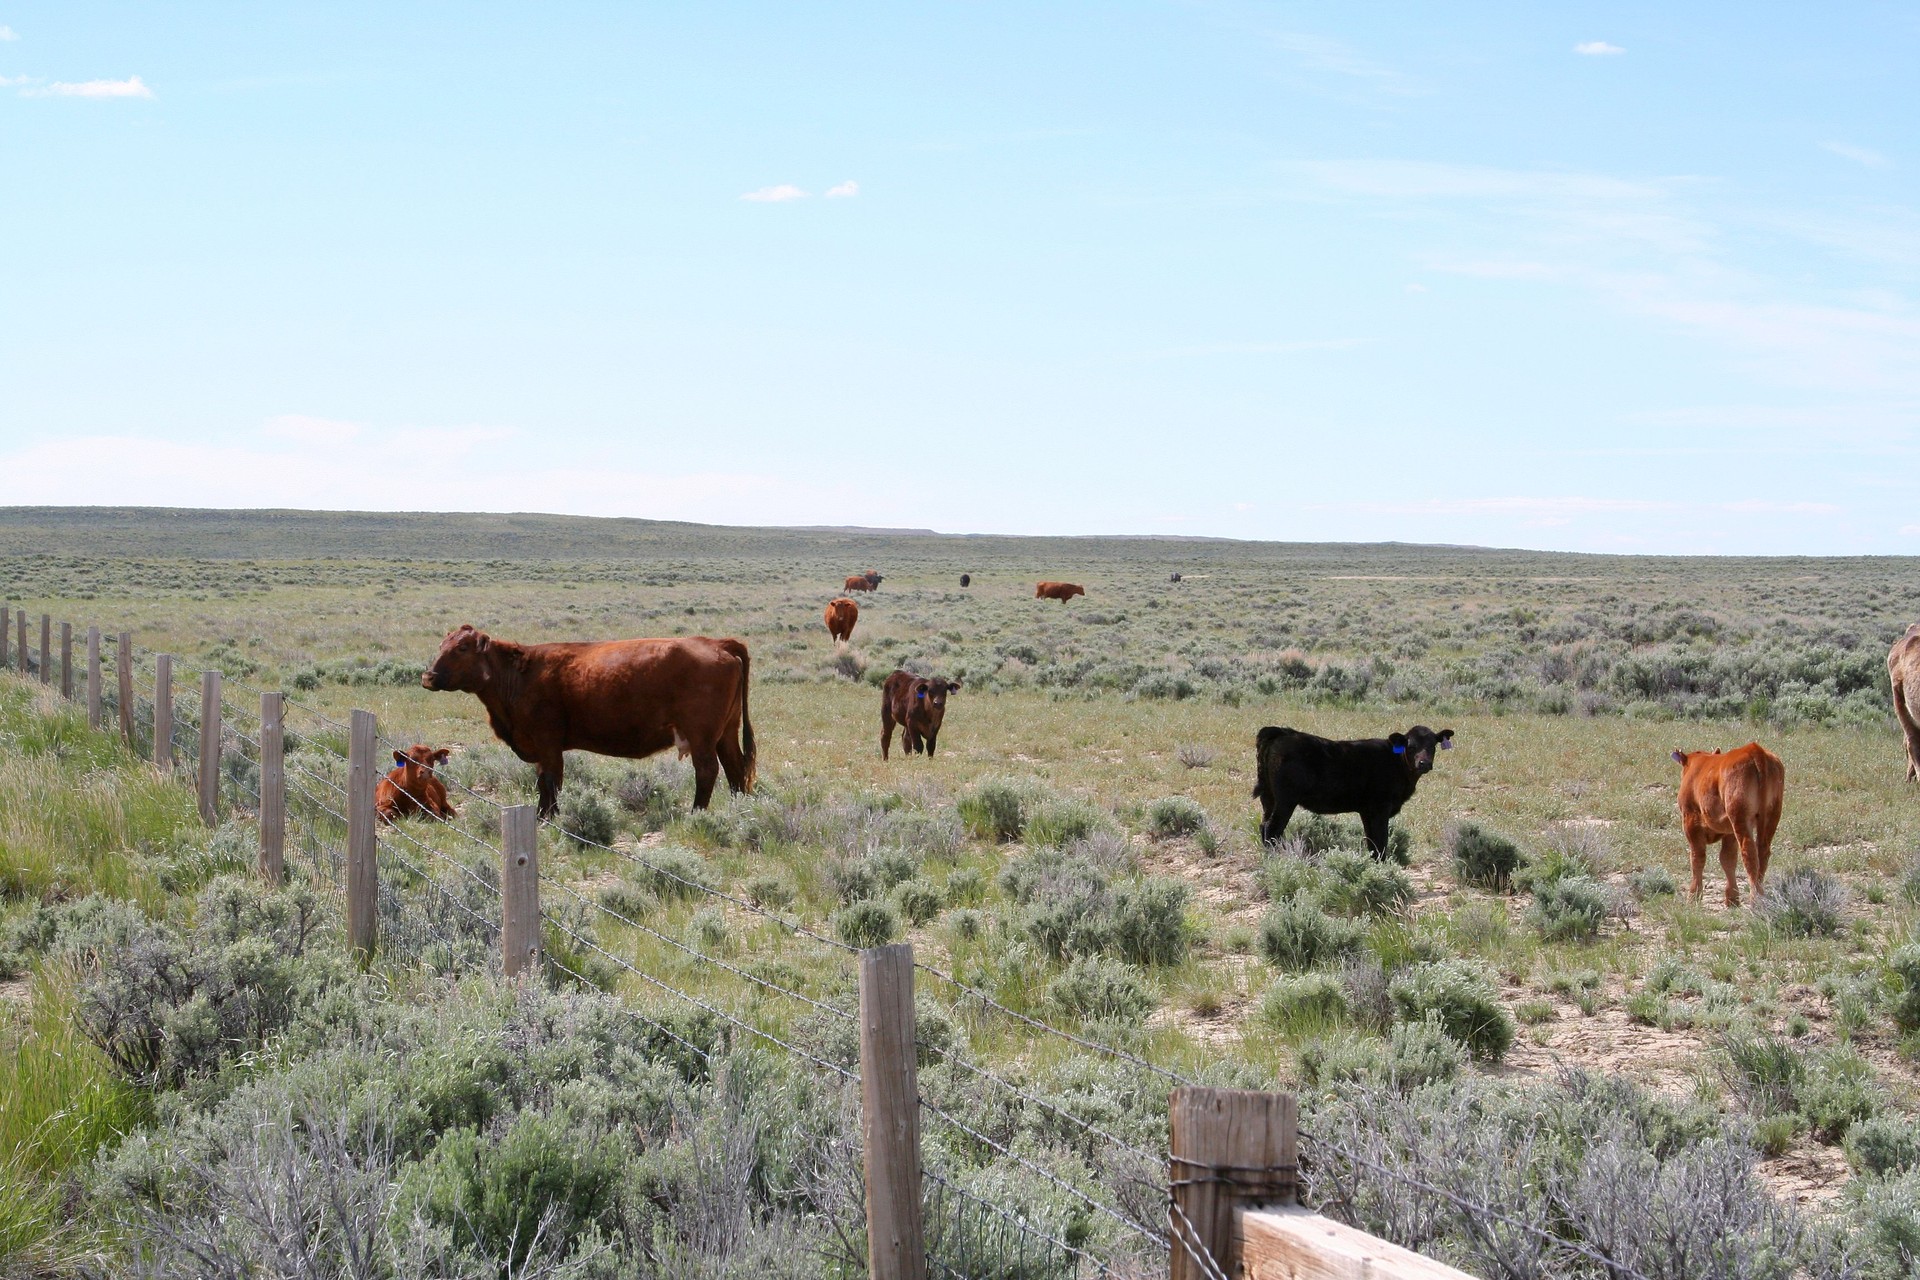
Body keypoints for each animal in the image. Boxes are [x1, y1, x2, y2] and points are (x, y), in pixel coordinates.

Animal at [424, 621, 752, 821]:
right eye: (442, 644)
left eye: (462, 648)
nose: (428, 676)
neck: (520, 674)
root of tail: (716, 643)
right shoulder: (541, 747)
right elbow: (543, 782)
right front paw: (542, 816)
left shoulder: (548, 743)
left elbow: (550, 781)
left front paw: (549, 818)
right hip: (726, 733)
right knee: (735, 769)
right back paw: (739, 811)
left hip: (702, 737)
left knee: (707, 771)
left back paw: (696, 814)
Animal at [1244, 725, 1451, 855]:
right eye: (1411, 746)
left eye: (1432, 746)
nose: (1424, 763)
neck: (1397, 763)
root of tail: (1283, 732)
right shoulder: (1380, 808)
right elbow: (1380, 841)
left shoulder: (1367, 811)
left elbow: (1372, 842)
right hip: (1285, 800)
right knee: (1272, 828)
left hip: (1268, 797)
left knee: (1264, 826)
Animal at [1674, 740, 1789, 909]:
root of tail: (1755, 750)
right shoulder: (1729, 832)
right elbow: (1727, 859)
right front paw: (1732, 898)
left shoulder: (1690, 822)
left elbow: (1697, 858)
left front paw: (1693, 896)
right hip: (1772, 815)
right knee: (1763, 852)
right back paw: (1761, 895)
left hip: (1740, 818)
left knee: (1749, 853)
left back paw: (1755, 899)